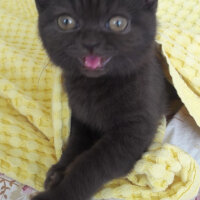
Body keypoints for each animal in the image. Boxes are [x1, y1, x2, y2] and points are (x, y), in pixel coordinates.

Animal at [32, 0, 166, 200]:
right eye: (65, 22)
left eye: (118, 23)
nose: (90, 42)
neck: (94, 86)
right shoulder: (80, 117)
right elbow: (75, 144)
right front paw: (59, 170)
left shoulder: (133, 133)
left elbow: (91, 165)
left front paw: (57, 194)